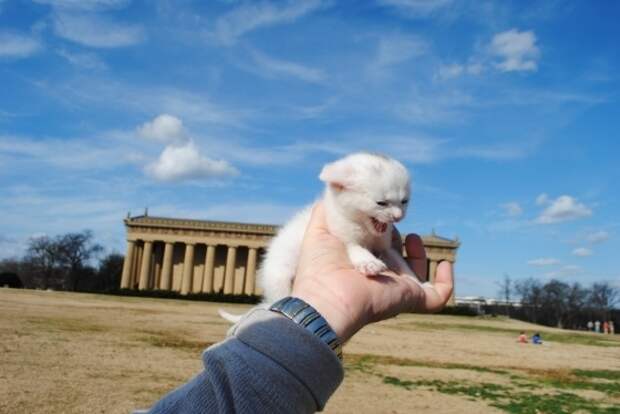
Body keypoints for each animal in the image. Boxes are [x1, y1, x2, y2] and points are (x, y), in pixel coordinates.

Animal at [219, 152, 422, 324]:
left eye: (405, 202)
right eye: (381, 203)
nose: (398, 216)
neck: (363, 227)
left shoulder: (385, 247)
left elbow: (400, 262)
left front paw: (417, 281)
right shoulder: (343, 236)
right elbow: (356, 248)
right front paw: (368, 263)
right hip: (280, 280)